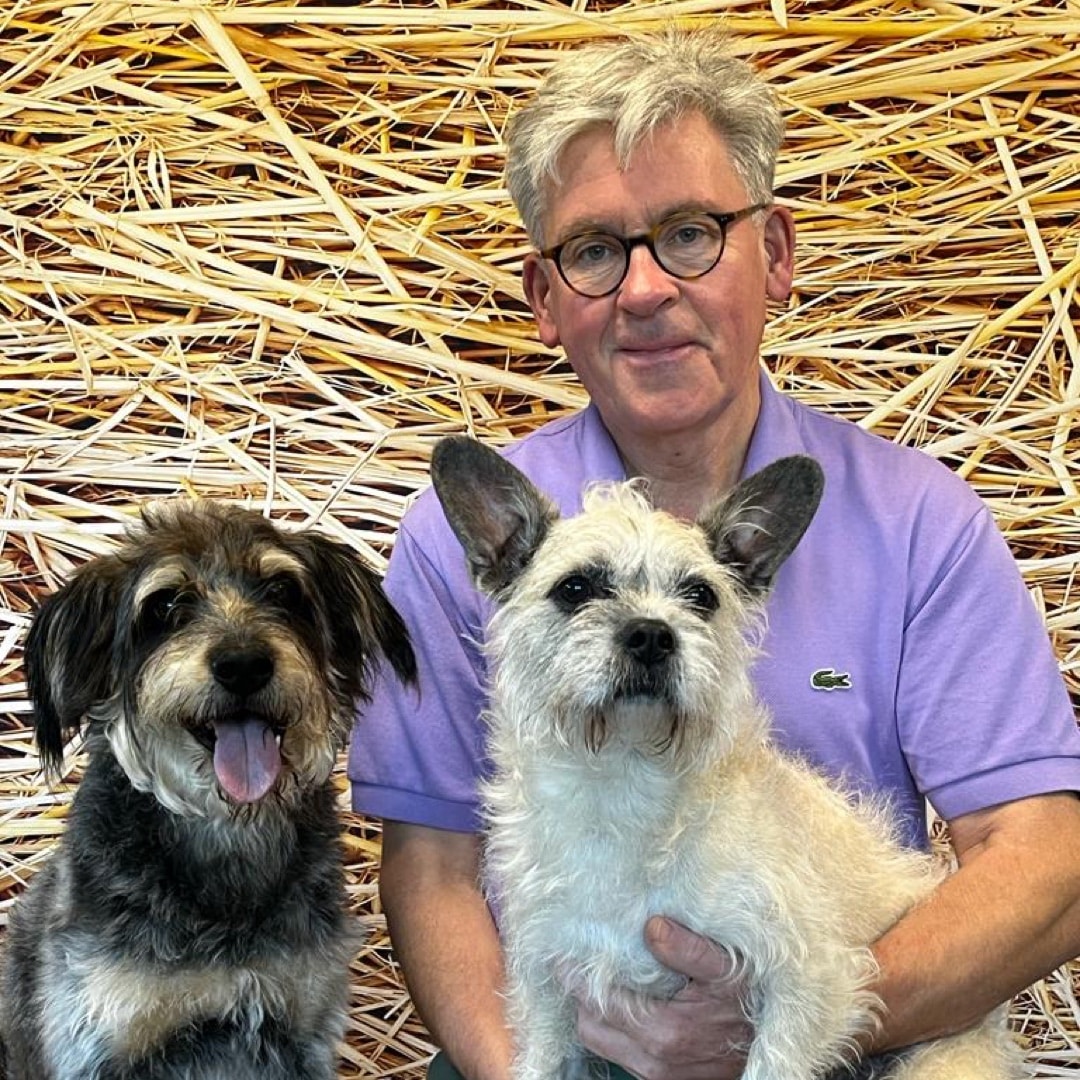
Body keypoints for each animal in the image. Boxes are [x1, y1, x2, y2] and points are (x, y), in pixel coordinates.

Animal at [0, 501, 416, 1080]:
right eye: (164, 604)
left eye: (284, 591)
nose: (244, 664)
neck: (228, 838)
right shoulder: (100, 1042)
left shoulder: (300, 1028)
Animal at [430, 436, 1022, 1080]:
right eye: (576, 589)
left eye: (701, 596)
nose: (652, 635)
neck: (623, 780)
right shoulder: (546, 988)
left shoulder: (811, 984)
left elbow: (771, 1064)